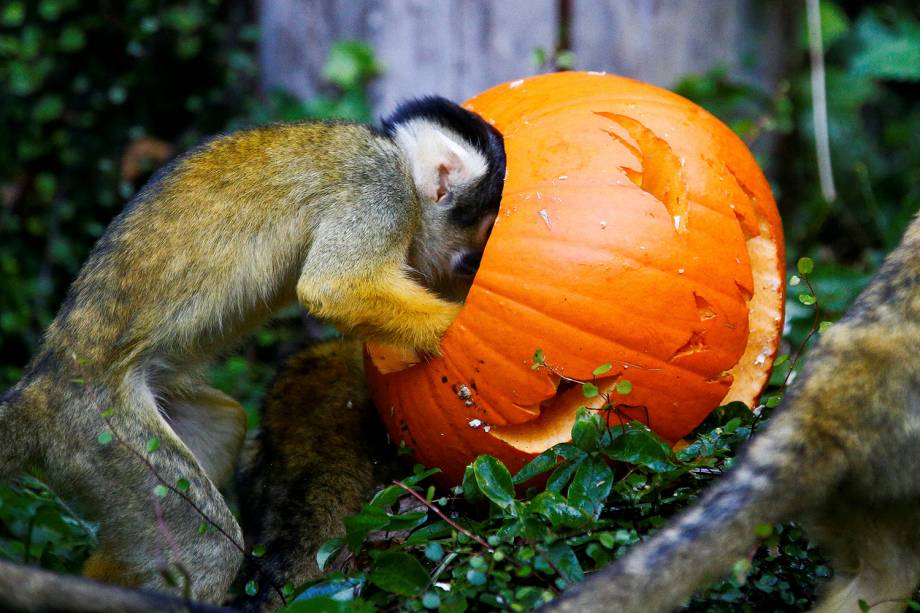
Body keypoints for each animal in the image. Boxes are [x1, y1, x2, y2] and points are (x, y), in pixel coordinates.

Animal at [0, 98, 504, 600]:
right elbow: (335, 288)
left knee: (224, 428)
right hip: (98, 431)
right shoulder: (380, 191)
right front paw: (463, 325)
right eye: (478, 236)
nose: (476, 264)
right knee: (208, 553)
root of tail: (40, 385)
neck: (397, 157)